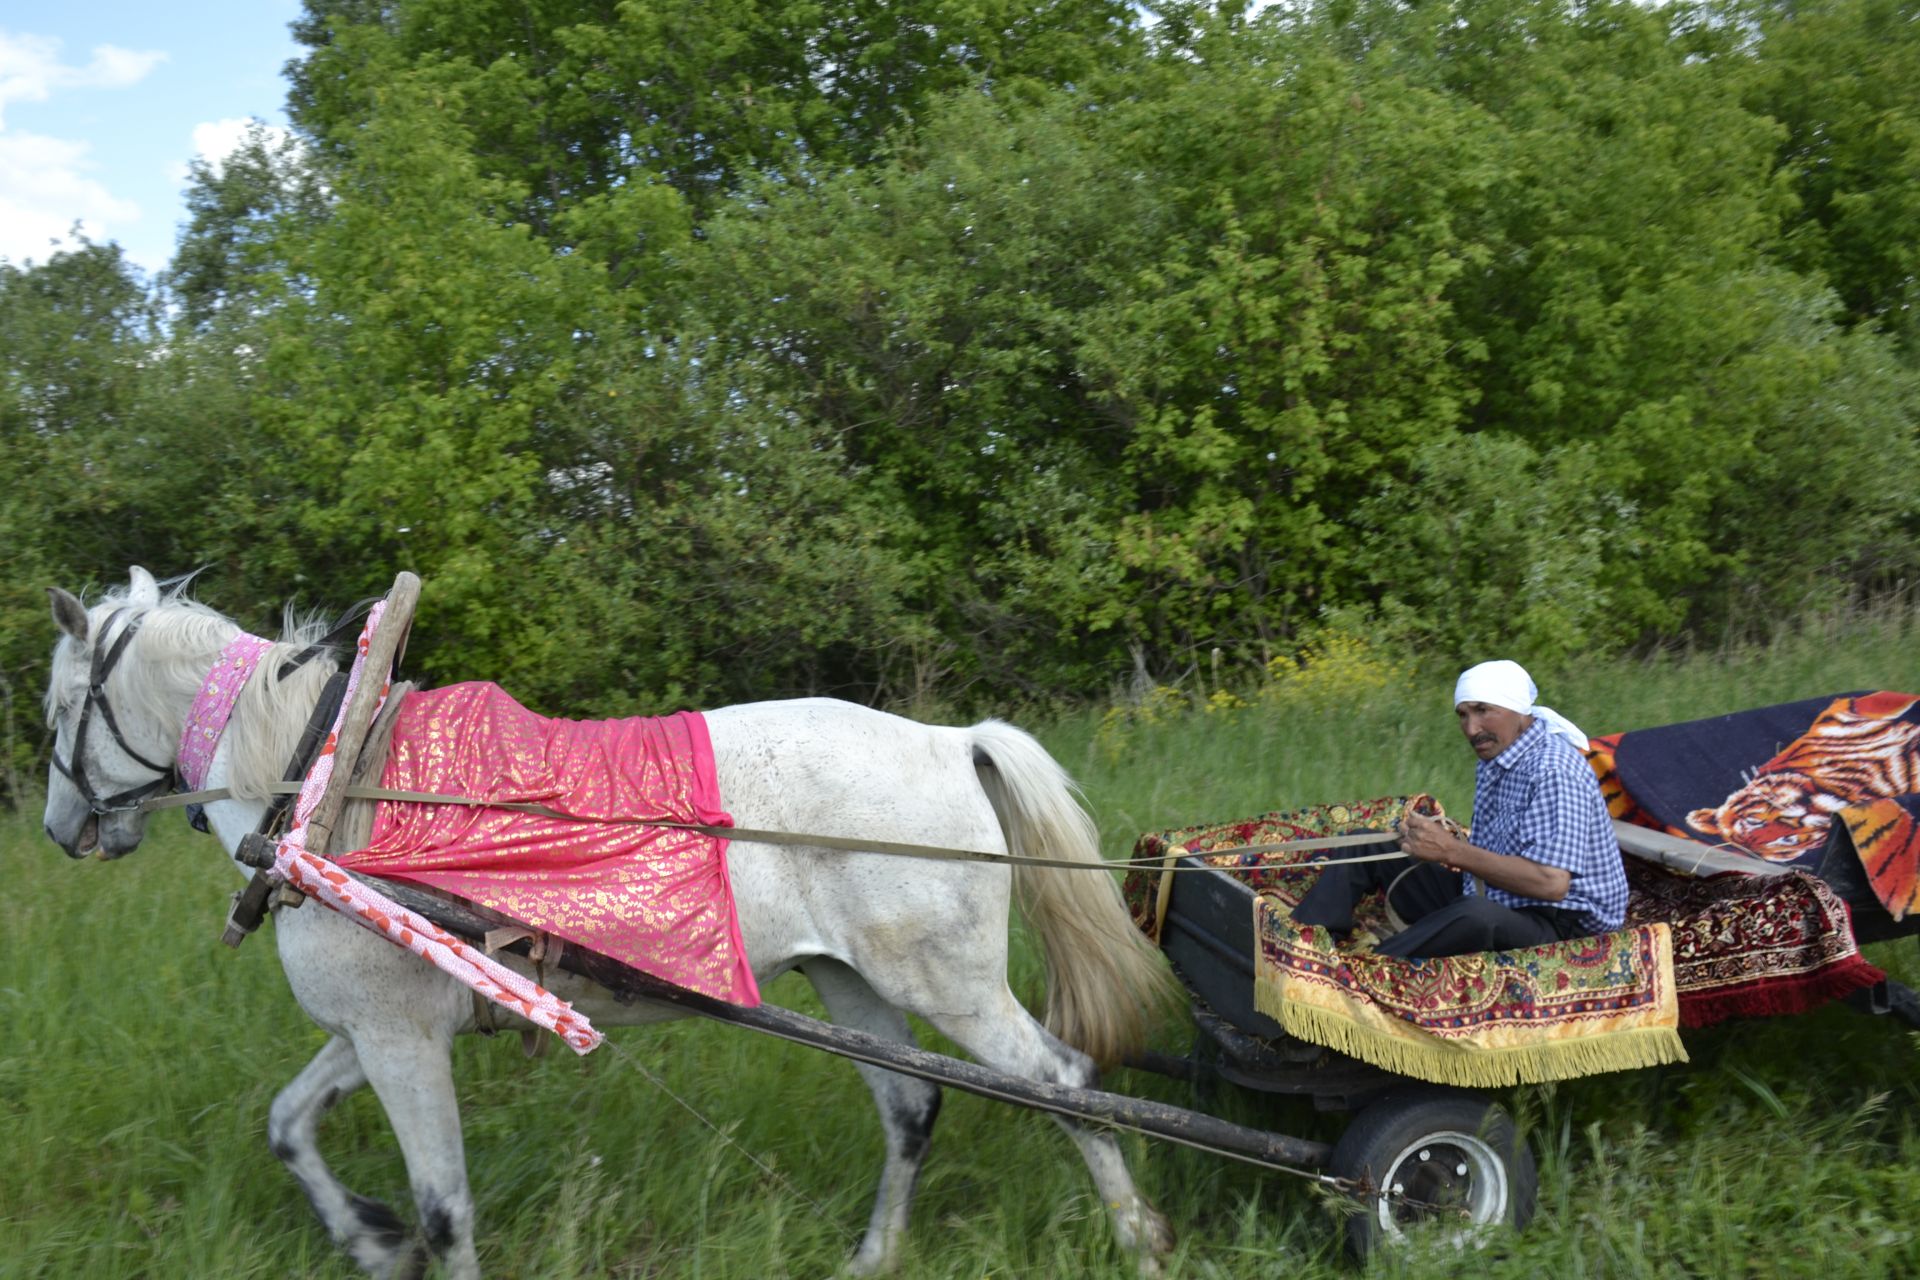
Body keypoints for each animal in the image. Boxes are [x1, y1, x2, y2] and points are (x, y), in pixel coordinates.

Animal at [45, 571, 1175, 1280]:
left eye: (57, 709)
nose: (62, 830)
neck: (330, 778)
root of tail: (950, 741)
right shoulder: (375, 1031)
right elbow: (289, 1124)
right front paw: (368, 1238)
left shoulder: (401, 1042)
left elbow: (445, 1205)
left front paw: (393, 1234)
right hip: (848, 982)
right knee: (911, 1108)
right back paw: (874, 1255)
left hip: (949, 986)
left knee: (1063, 1083)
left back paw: (1137, 1237)